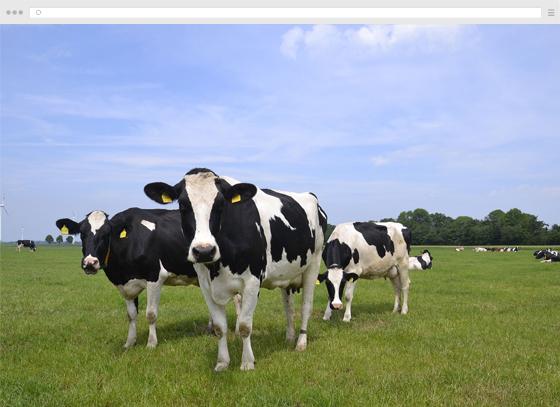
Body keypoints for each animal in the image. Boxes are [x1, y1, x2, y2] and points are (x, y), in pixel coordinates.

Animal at [143, 167, 328, 372]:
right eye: (183, 205)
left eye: (220, 205)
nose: (204, 251)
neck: (218, 265)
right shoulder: (206, 285)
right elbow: (219, 327)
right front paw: (222, 362)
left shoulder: (252, 281)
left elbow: (245, 326)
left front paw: (247, 363)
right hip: (287, 274)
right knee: (289, 307)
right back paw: (289, 337)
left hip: (314, 263)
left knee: (306, 306)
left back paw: (301, 342)